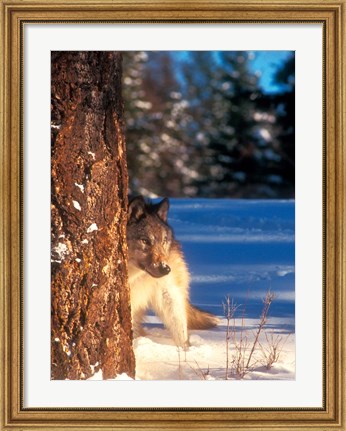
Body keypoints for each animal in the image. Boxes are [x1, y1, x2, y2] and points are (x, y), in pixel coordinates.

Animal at [127, 197, 219, 352]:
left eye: (163, 241)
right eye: (145, 241)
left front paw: (186, 352)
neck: (136, 275)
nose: (165, 269)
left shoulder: (167, 292)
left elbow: (180, 329)